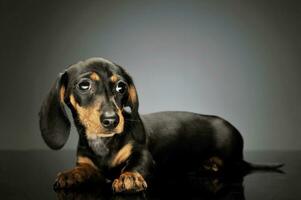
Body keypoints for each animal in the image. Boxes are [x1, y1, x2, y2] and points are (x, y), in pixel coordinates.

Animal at [39, 57, 282, 193]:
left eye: (121, 87)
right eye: (84, 85)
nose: (112, 120)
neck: (103, 145)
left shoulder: (143, 155)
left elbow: (134, 165)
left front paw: (129, 177)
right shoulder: (87, 162)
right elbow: (84, 169)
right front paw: (71, 174)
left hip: (231, 160)